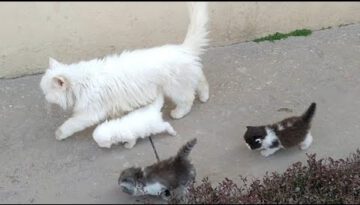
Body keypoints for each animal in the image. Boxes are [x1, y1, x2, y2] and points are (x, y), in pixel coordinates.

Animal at [38, 2, 208, 141]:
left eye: (46, 92)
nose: (44, 97)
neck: (81, 83)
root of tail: (183, 49)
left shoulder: (89, 113)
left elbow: (71, 123)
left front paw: (59, 133)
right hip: (187, 79)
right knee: (202, 82)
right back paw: (204, 97)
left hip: (175, 88)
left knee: (187, 100)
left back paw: (179, 113)